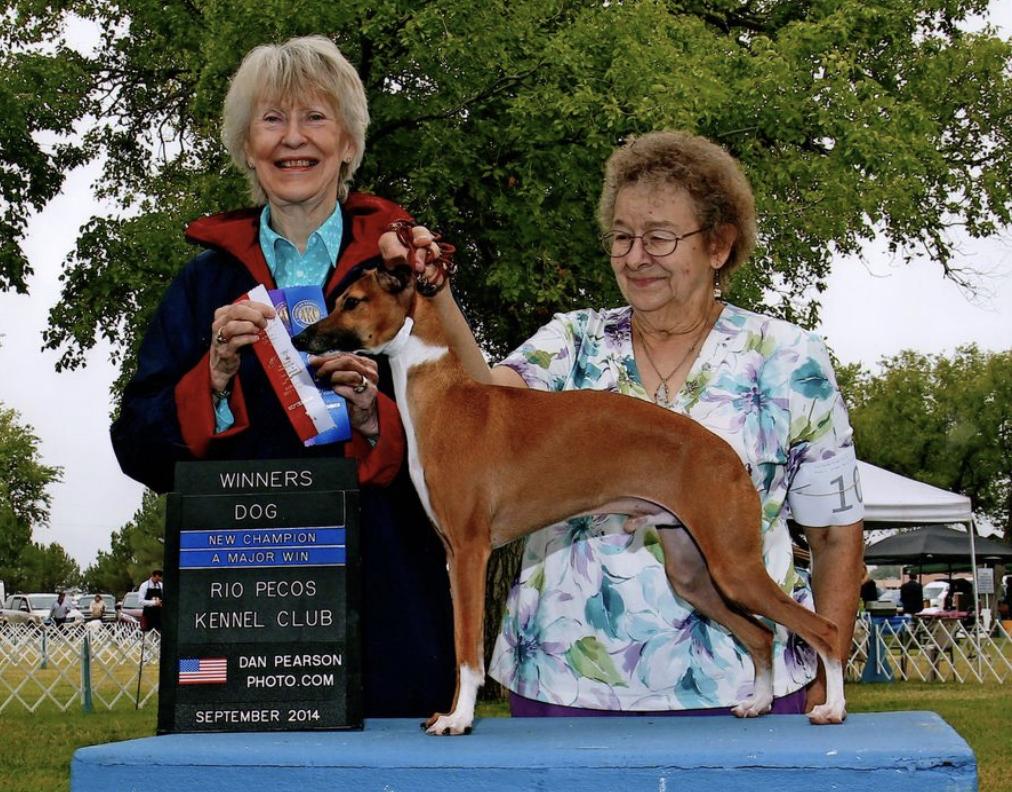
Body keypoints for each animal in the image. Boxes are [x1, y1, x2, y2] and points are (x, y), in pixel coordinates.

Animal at [293, 267, 846, 736]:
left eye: (353, 301)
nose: (300, 339)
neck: (446, 398)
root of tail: (729, 457)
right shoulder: (451, 558)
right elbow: (458, 645)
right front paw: (449, 713)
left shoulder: (471, 552)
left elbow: (468, 651)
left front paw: (460, 720)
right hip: (695, 575)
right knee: (762, 636)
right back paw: (757, 703)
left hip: (732, 566)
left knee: (823, 628)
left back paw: (832, 707)